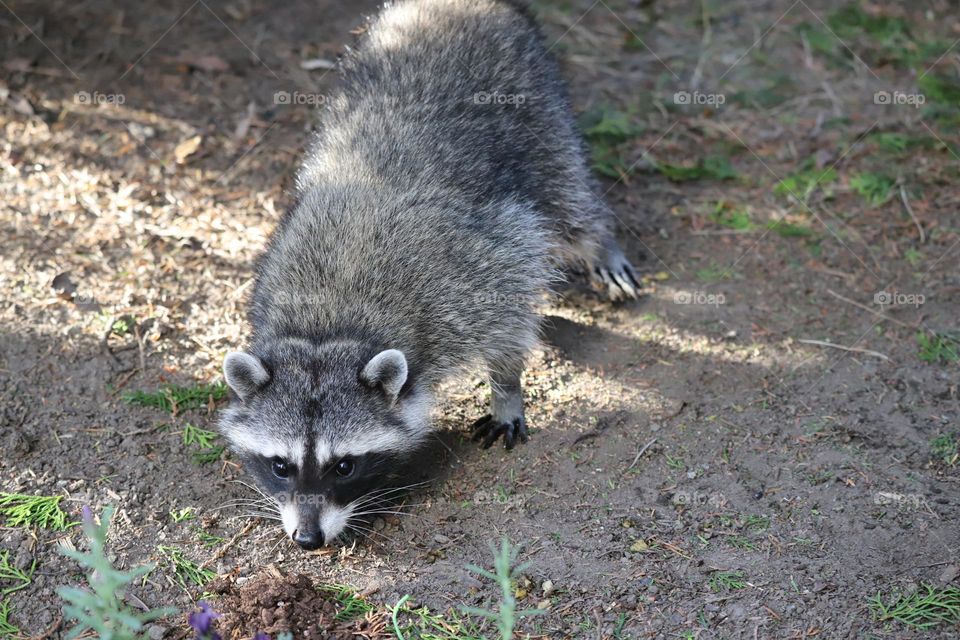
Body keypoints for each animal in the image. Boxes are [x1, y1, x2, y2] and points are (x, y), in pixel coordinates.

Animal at [218, 0, 636, 552]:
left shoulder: (473, 275)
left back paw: (601, 241)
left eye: (344, 466)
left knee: (571, 197)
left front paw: (507, 389)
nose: (308, 539)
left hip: (538, 113)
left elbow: (509, 313)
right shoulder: (271, 278)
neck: (328, 328)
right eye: (280, 466)